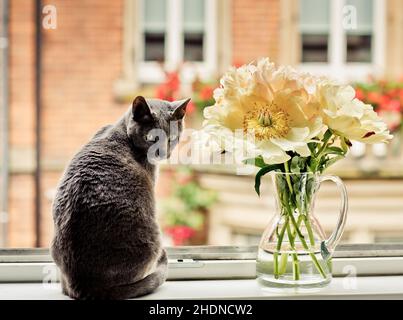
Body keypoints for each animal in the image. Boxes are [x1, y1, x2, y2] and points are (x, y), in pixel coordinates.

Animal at [50, 95, 189, 300]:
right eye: (152, 139)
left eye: (172, 138)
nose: (164, 153)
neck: (120, 130)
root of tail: (83, 285)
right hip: (152, 239)